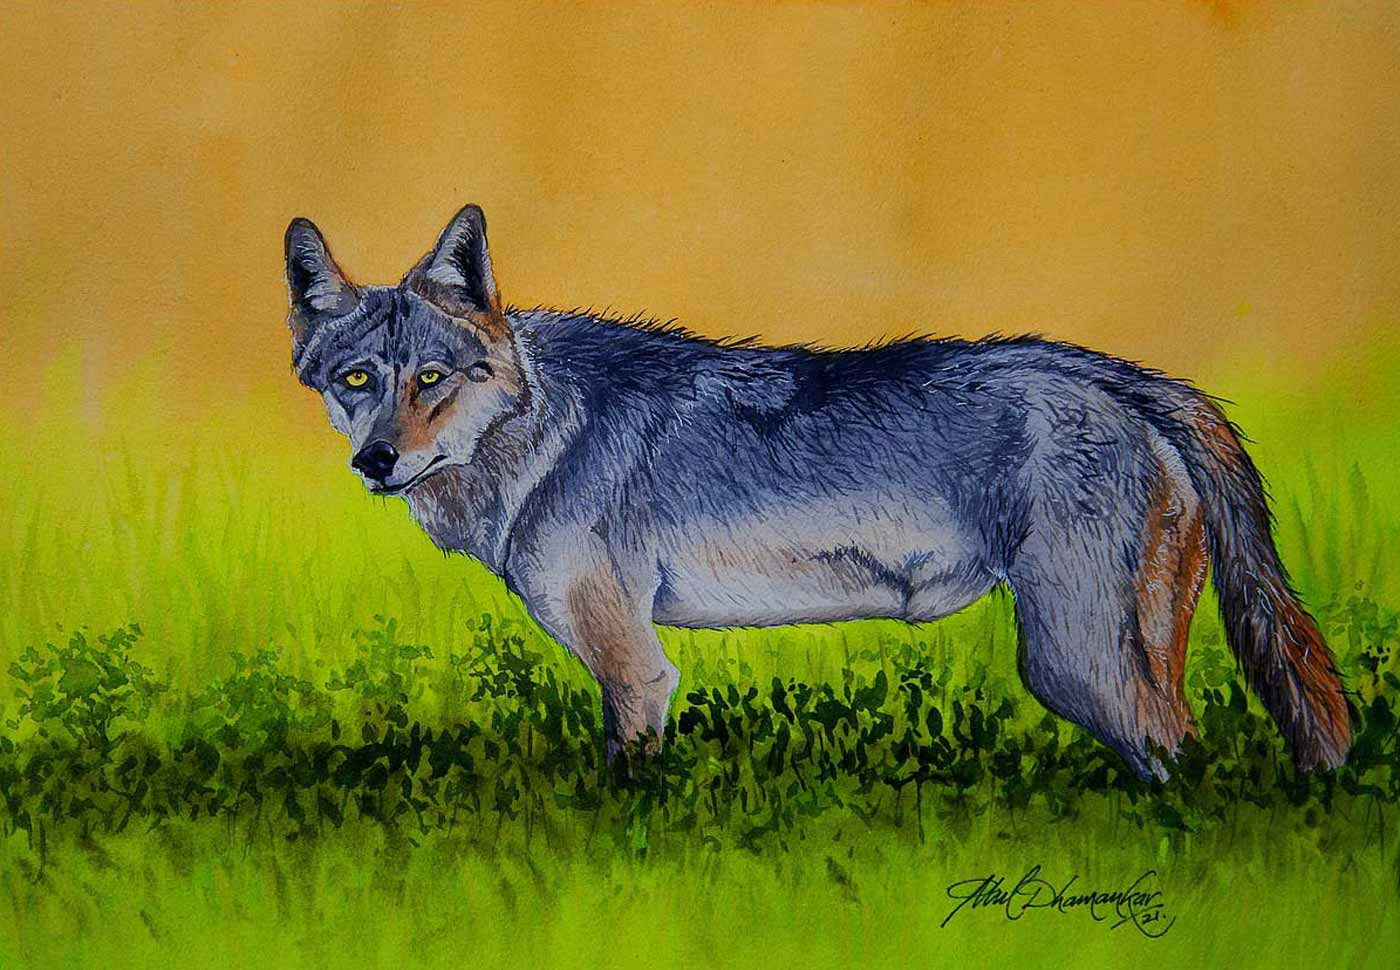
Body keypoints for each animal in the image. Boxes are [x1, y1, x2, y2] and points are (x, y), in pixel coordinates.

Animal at [283, 203, 1351, 781]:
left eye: (432, 379)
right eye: (356, 380)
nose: (375, 461)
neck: (543, 425)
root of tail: (1125, 375)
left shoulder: (636, 672)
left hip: (1073, 665)